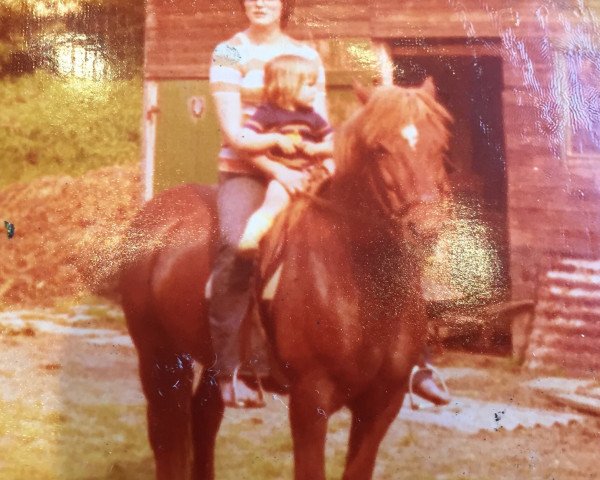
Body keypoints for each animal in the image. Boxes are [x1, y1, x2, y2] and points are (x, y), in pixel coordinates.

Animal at [119, 79, 452, 480]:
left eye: (441, 145)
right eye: (379, 149)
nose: (426, 228)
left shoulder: (382, 404)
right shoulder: (311, 400)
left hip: (218, 366)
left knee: (203, 419)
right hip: (159, 355)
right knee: (167, 436)